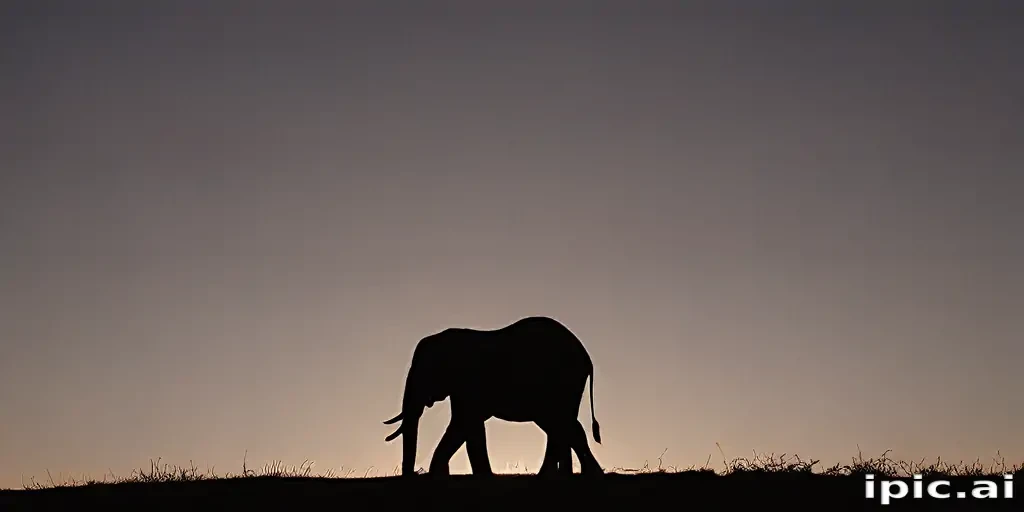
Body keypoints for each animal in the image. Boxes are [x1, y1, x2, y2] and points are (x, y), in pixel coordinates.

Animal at [382, 315, 604, 477]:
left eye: (425, 372)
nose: (413, 474)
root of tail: (587, 357)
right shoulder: (461, 388)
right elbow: (470, 427)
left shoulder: (469, 381)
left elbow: (463, 423)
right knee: (564, 426)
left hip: (562, 383)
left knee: (563, 425)